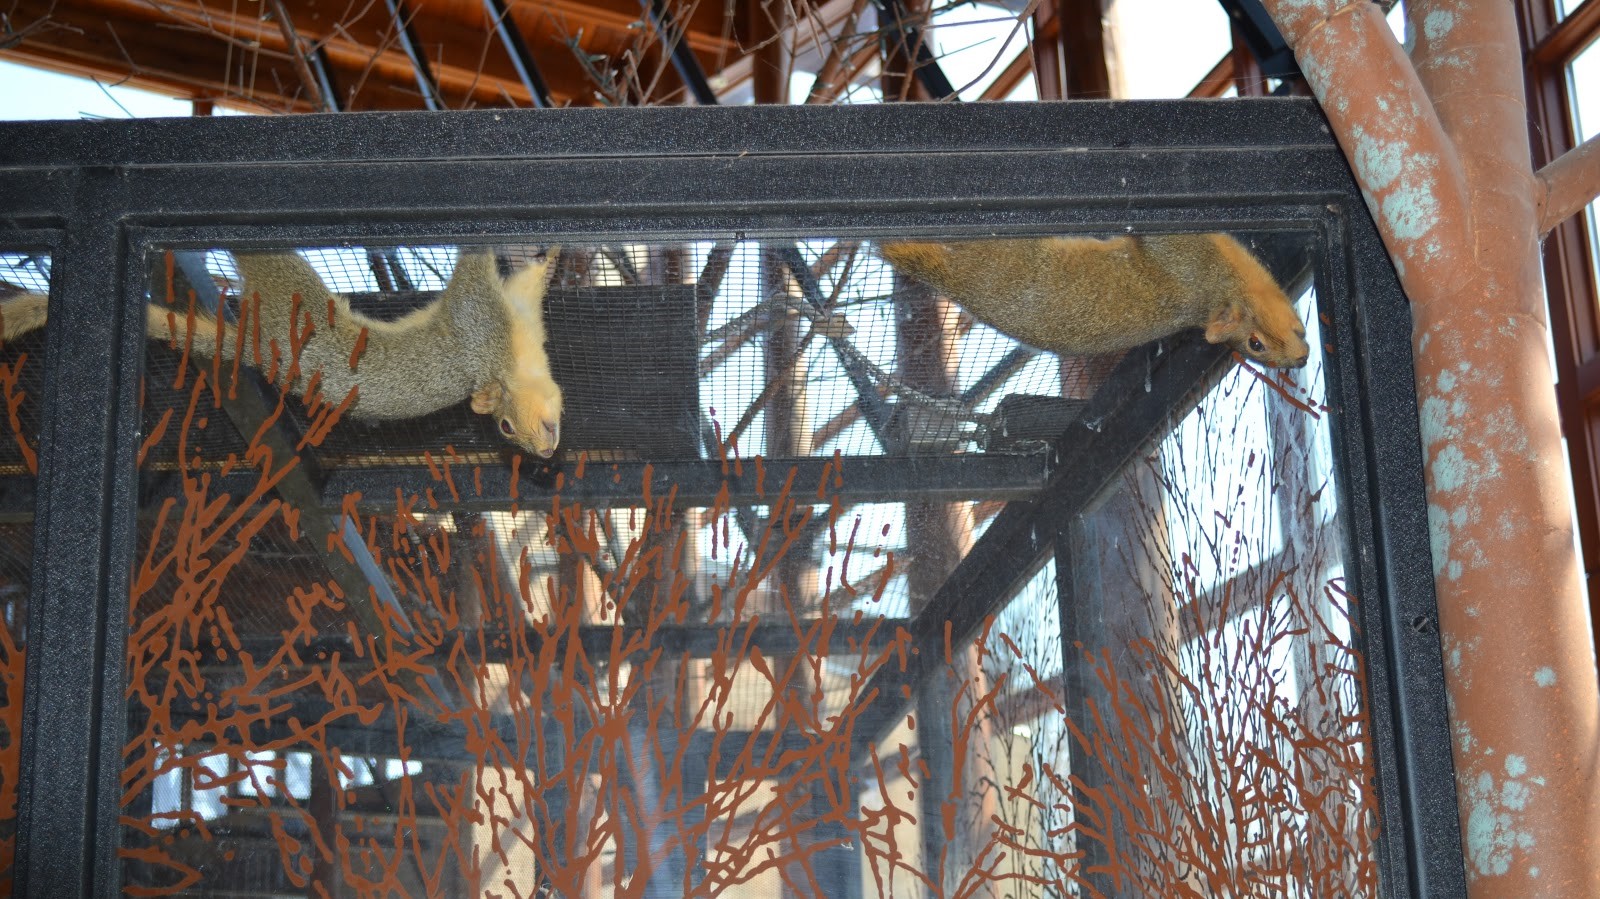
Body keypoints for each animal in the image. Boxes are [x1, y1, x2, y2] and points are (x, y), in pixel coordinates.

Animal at [0, 249, 564, 457]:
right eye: (506, 429)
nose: (544, 452)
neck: (514, 362)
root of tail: (261, 349)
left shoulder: (510, 317)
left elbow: (528, 280)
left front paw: (551, 252)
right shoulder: (478, 323)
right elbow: (473, 274)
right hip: (291, 291)